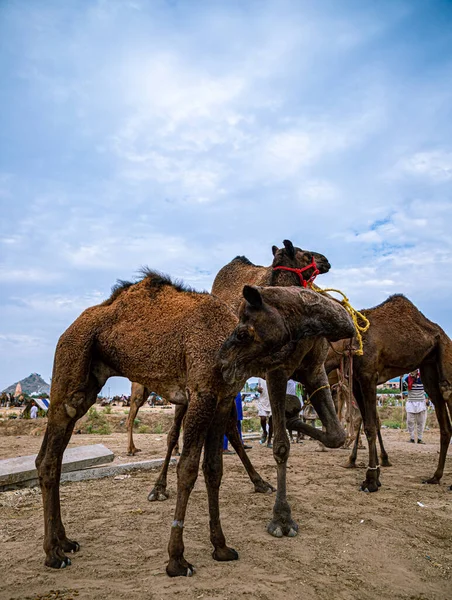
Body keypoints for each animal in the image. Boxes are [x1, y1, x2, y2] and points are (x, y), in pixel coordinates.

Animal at [324, 296, 452, 492]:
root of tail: (444, 335)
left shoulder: (368, 377)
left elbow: (370, 425)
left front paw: (370, 480)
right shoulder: (357, 383)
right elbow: (368, 422)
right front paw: (375, 474)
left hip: (445, 355)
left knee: (447, 393)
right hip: (429, 366)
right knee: (442, 414)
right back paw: (435, 477)